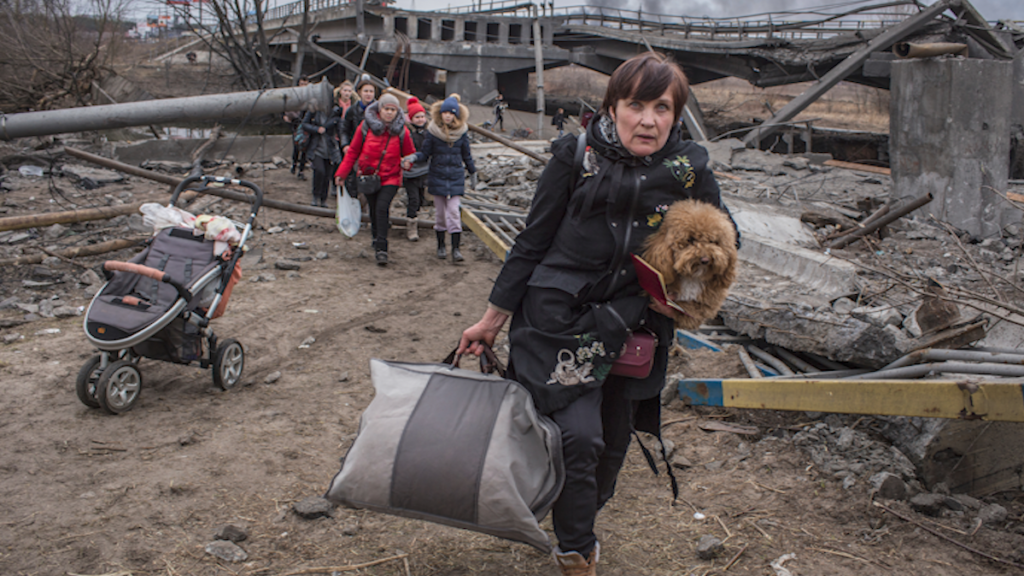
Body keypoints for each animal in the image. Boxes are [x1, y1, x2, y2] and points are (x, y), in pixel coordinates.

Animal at [638, 199, 737, 330]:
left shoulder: (712, 299)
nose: (705, 259)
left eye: (713, 241)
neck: (693, 277)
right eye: (690, 240)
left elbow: (699, 309)